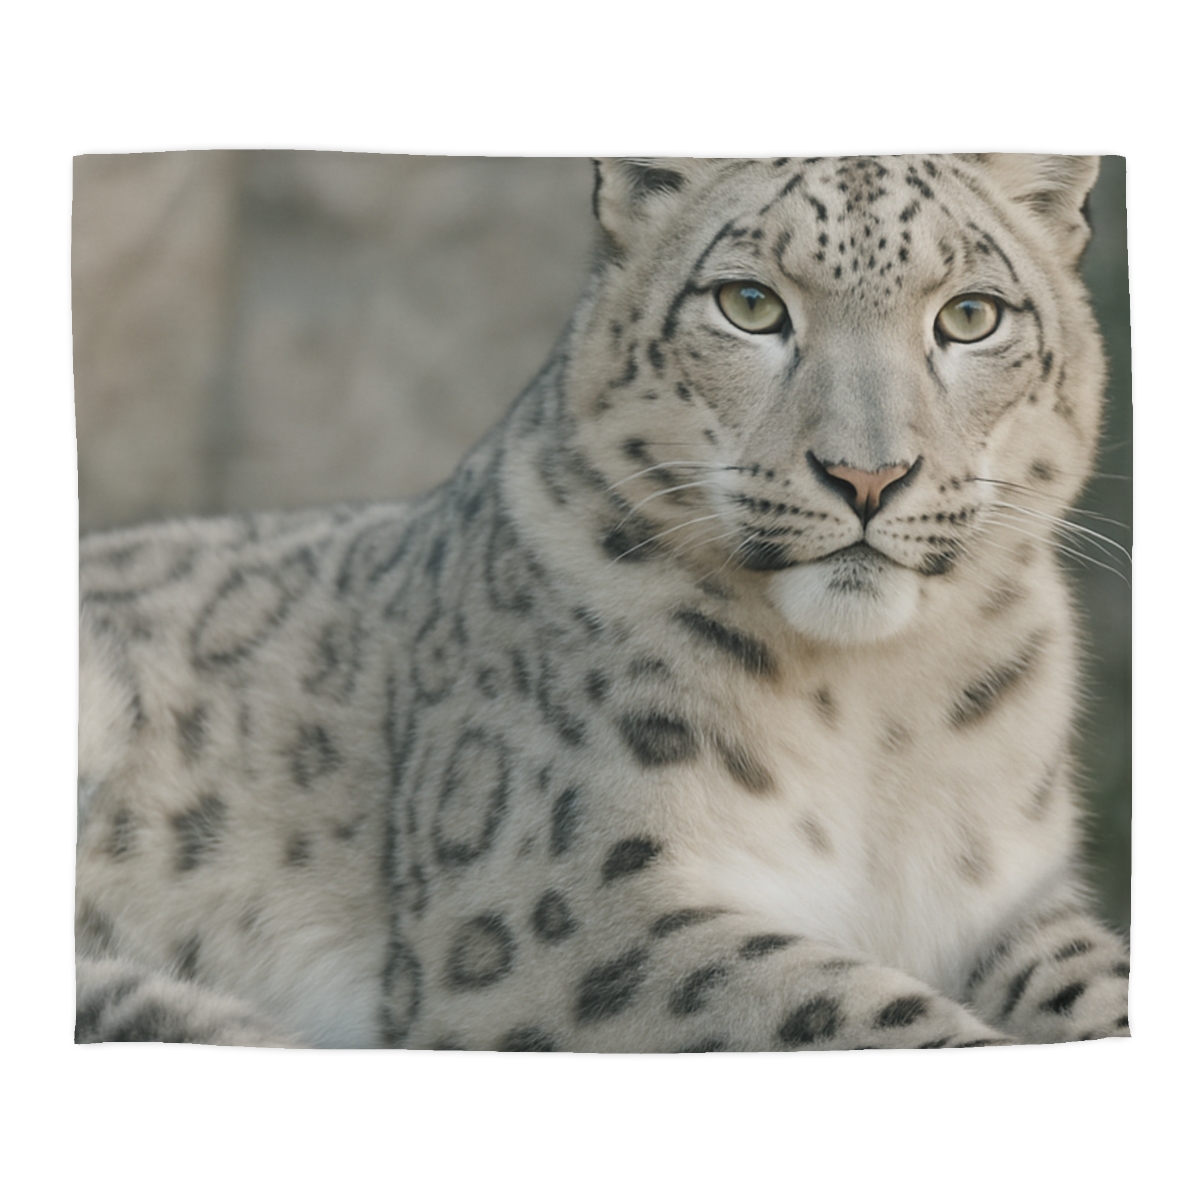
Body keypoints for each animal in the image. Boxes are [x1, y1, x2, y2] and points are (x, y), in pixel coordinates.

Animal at [76, 155, 1130, 1050]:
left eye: (971, 316)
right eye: (750, 304)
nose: (867, 476)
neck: (878, 707)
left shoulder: (1009, 899)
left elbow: (1100, 982)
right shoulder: (570, 898)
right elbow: (843, 1007)